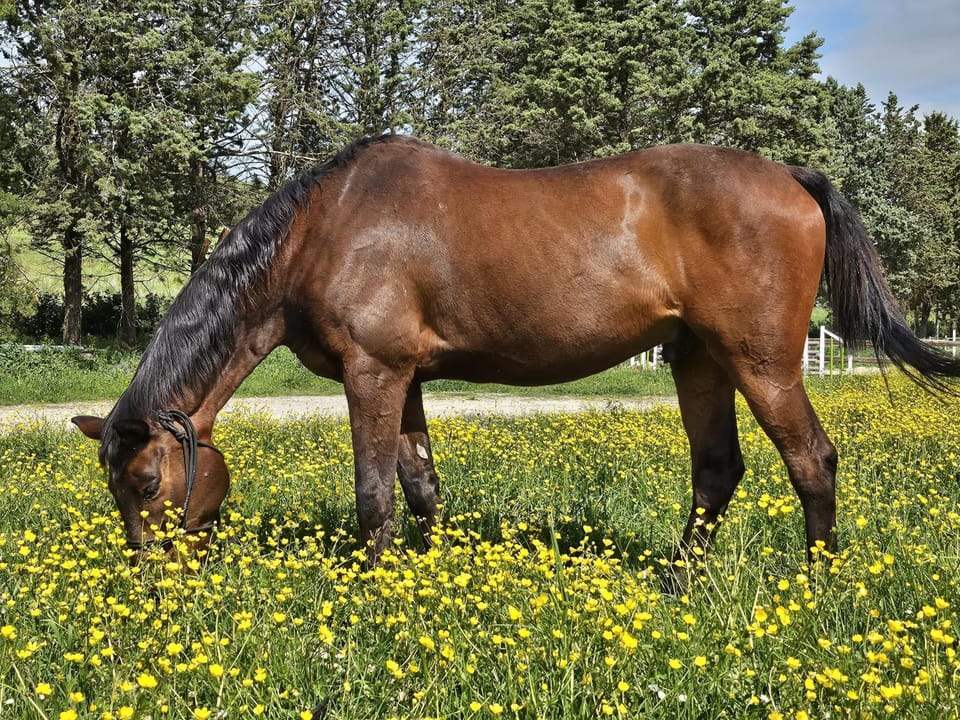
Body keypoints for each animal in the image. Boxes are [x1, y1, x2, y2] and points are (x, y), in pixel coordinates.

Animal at [72, 134, 960, 567]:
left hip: (761, 360)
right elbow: (421, 488)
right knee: (717, 470)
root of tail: (792, 176)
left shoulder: (373, 374)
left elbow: (375, 497)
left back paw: (814, 588)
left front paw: (374, 597)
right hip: (699, 359)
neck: (320, 232)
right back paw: (678, 581)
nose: (150, 586)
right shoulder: (409, 379)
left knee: (812, 462)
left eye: (146, 482)